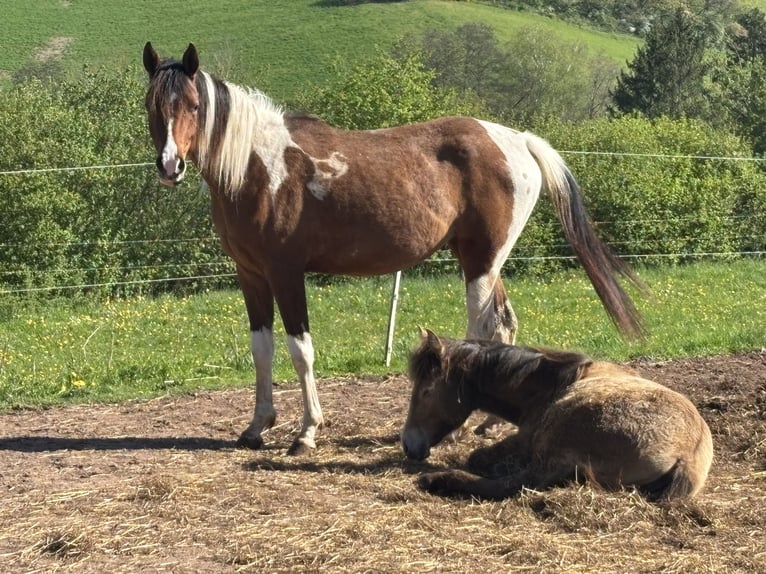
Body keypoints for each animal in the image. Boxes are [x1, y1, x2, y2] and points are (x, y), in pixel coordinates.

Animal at [142, 42, 645, 455]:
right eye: (152, 106)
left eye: (193, 105)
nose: (170, 166)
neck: (259, 167)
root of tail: (517, 139)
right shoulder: (251, 275)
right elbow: (261, 349)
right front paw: (257, 426)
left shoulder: (286, 272)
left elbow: (300, 349)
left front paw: (306, 432)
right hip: (480, 258)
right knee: (504, 324)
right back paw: (487, 423)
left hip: (482, 261)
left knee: (483, 328)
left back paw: (464, 428)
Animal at [402, 330, 713, 500]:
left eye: (426, 391)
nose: (409, 445)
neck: (551, 384)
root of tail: (686, 455)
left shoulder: (526, 440)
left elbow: (477, 457)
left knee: (516, 484)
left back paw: (439, 480)